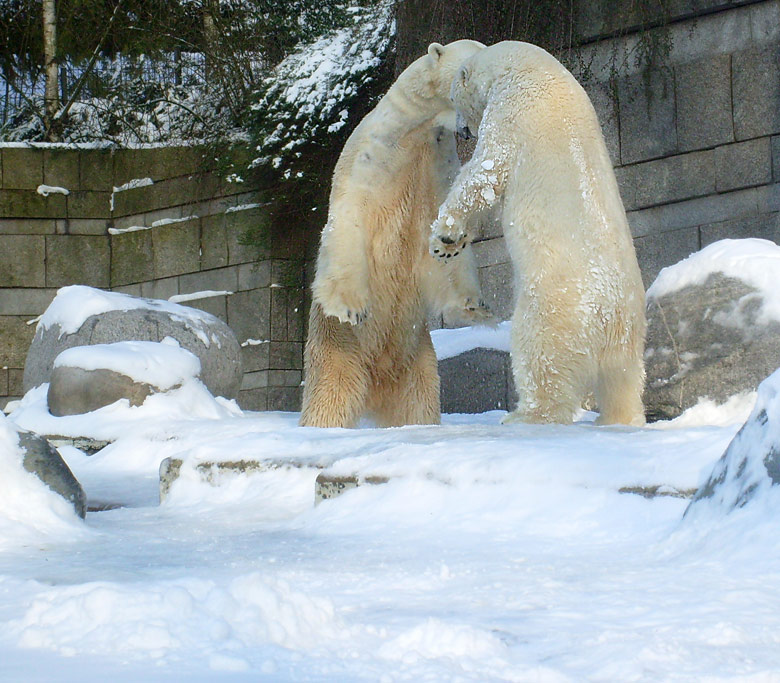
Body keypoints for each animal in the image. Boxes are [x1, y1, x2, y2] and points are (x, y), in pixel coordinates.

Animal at [300, 38, 494, 428]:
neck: (416, 133)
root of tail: (376, 382)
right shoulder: (374, 156)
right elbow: (350, 220)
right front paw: (352, 306)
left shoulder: (435, 165)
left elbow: (442, 236)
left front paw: (473, 304)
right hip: (337, 351)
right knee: (329, 401)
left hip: (418, 361)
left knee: (419, 404)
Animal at [432, 40, 644, 424]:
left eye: (454, 96)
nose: (461, 129)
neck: (524, 66)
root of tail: (611, 317)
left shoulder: (511, 110)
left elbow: (485, 173)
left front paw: (445, 239)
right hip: (631, 337)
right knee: (623, 381)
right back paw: (618, 419)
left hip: (555, 306)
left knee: (540, 355)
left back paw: (524, 415)